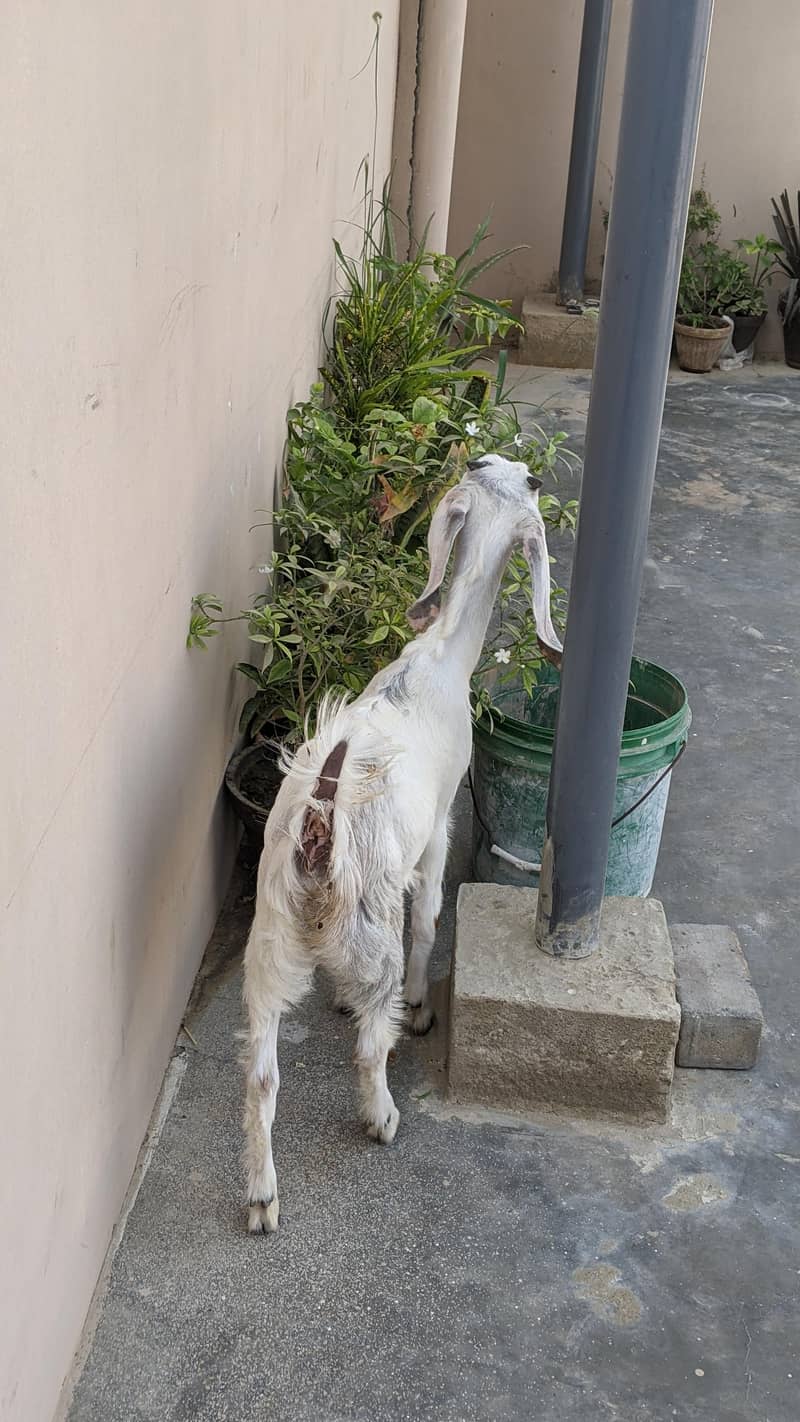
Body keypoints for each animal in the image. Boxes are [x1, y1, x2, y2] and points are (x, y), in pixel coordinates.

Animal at [242, 453, 563, 1233]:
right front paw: (419, 1007)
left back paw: (263, 1197)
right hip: (368, 926)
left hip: (268, 943)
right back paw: (381, 1115)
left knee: (262, 1076)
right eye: (530, 481)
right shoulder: (442, 823)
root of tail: (321, 827)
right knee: (367, 1048)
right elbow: (431, 919)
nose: (518, 468)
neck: (439, 658)